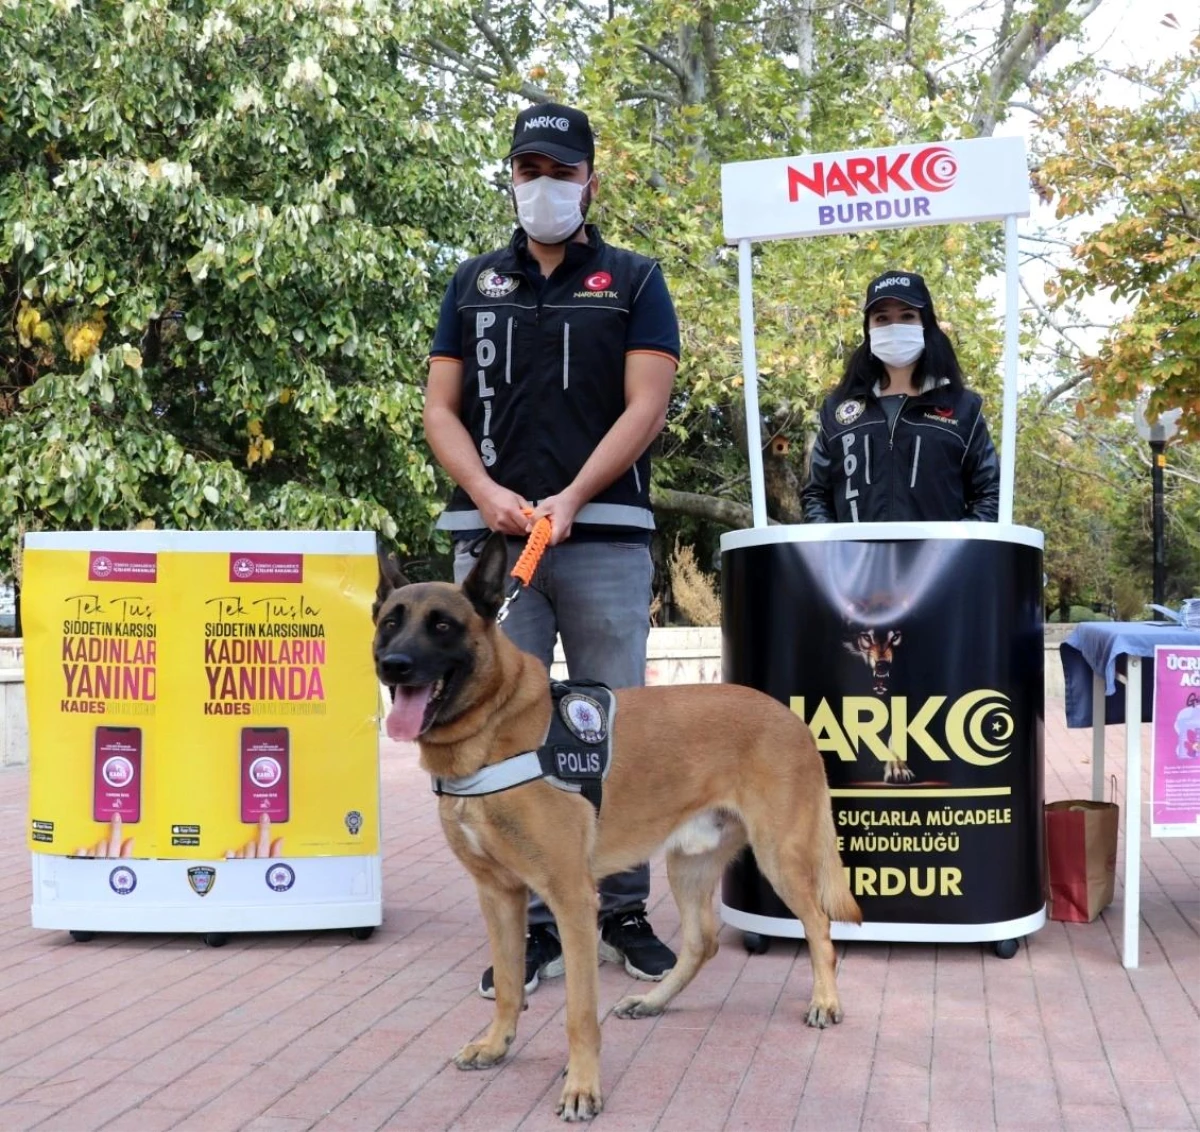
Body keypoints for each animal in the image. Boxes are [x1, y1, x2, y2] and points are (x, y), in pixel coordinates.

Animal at [369, 532, 859, 1123]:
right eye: (390, 623)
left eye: (442, 626)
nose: (394, 665)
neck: (492, 728)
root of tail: (790, 717)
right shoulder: (499, 894)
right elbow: (509, 984)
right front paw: (496, 1045)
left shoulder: (572, 897)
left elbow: (579, 1012)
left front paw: (582, 1086)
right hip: (688, 864)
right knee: (703, 943)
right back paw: (653, 1002)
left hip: (780, 856)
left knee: (818, 926)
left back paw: (826, 1000)